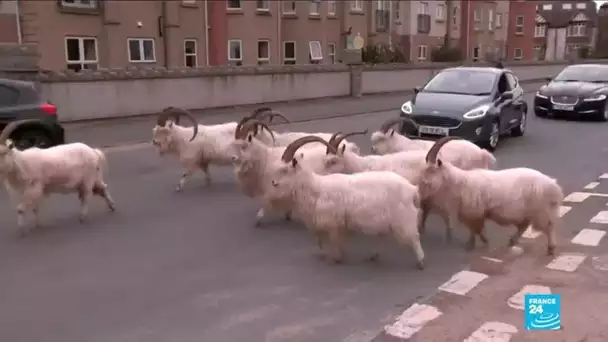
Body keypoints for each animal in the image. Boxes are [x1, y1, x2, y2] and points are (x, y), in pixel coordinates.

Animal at [266, 135, 422, 268]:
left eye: (284, 170)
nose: (273, 182)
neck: (317, 189)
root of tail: (412, 190)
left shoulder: (333, 224)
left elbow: (334, 242)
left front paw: (336, 258)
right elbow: (323, 241)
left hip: (404, 219)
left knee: (414, 237)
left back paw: (420, 262)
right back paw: (373, 256)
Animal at [418, 136, 560, 254]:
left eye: (431, 169)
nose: (422, 182)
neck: (461, 182)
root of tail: (553, 185)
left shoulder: (474, 212)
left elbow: (475, 229)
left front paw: (472, 244)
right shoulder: (474, 213)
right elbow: (476, 229)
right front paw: (481, 241)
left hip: (541, 210)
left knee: (548, 226)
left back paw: (551, 248)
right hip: (528, 212)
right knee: (523, 226)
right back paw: (512, 241)